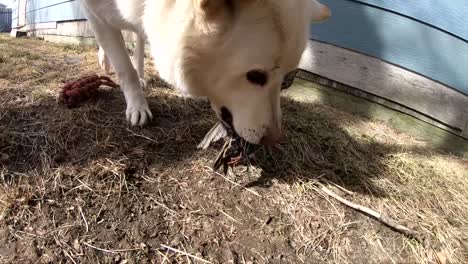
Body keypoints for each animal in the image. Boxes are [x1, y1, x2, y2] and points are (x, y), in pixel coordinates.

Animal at [78, 0, 330, 144]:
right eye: (256, 76)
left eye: (287, 80)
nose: (275, 140)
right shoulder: (92, 8)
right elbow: (123, 68)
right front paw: (137, 106)